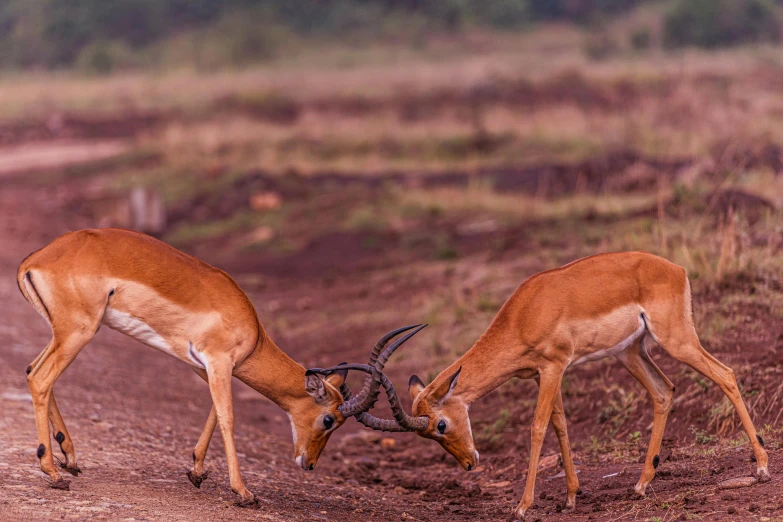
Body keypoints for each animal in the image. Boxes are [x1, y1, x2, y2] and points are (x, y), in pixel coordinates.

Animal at [15, 228, 426, 504]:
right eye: (329, 419)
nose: (308, 464)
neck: (253, 332)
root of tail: (34, 261)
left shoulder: (206, 366)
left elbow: (215, 409)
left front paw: (196, 472)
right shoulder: (218, 361)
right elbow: (228, 416)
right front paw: (244, 493)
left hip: (66, 333)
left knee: (33, 370)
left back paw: (69, 459)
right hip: (79, 332)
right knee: (41, 378)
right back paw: (54, 473)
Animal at [314, 251, 772, 516]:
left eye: (441, 425)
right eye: (430, 435)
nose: (469, 464)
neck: (524, 312)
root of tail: (675, 268)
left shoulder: (553, 368)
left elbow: (536, 429)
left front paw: (522, 505)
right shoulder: (542, 373)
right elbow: (560, 425)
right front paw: (570, 496)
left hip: (676, 340)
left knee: (726, 374)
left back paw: (763, 468)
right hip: (631, 352)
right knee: (664, 392)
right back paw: (642, 485)